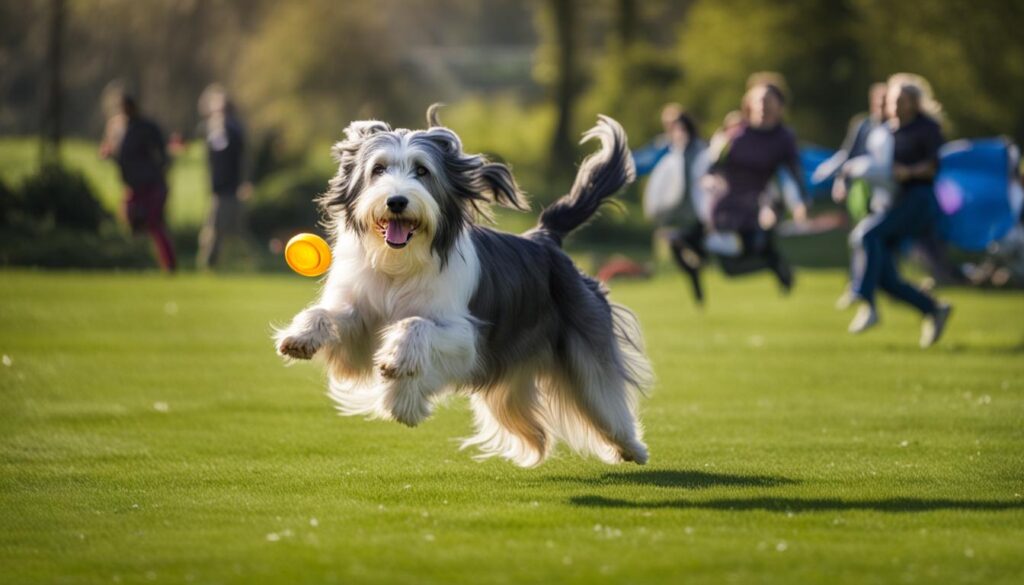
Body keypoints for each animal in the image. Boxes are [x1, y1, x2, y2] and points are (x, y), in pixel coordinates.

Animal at [276, 106, 651, 467]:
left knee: (603, 395)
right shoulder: (360, 332)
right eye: (378, 169)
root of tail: (544, 238)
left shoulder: (466, 338)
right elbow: (330, 316)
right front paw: (301, 337)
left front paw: (398, 368)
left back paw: (631, 447)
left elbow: (416, 325)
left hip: (584, 346)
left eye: (422, 171)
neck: (400, 263)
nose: (396, 201)